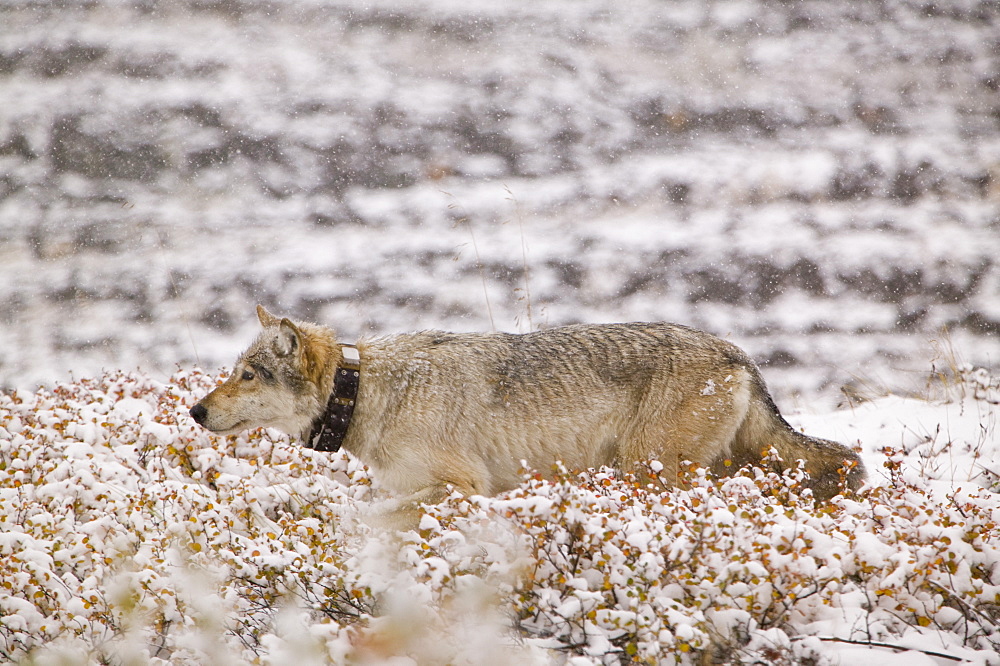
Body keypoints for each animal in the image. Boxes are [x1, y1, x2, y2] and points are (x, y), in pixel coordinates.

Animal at [191, 306, 864, 508]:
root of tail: (738, 352)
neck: (369, 394)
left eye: (247, 374)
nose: (195, 412)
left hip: (652, 471)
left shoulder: (462, 487)